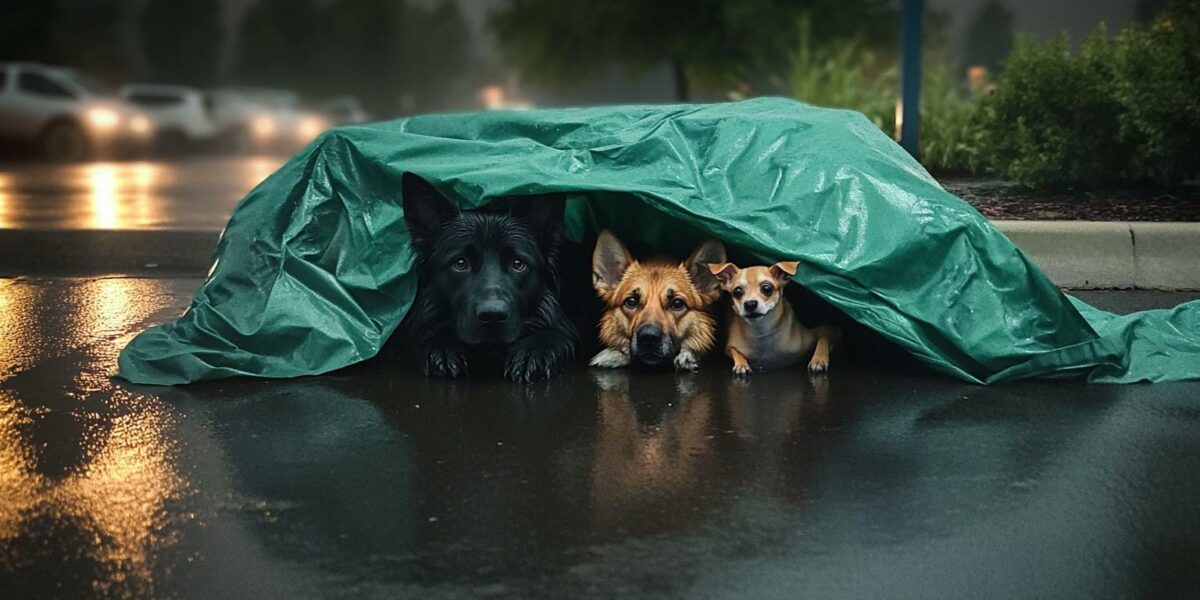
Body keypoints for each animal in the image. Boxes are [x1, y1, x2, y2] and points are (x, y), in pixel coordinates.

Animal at [705, 261, 840, 376]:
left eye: (767, 288)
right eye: (737, 291)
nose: (750, 304)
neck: (761, 331)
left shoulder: (826, 331)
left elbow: (823, 339)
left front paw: (818, 360)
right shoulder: (730, 347)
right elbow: (735, 351)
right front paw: (741, 364)